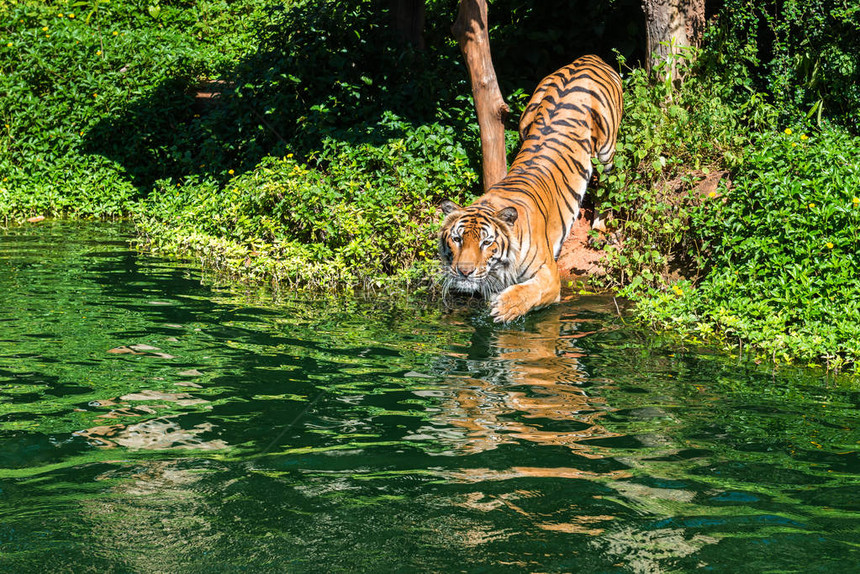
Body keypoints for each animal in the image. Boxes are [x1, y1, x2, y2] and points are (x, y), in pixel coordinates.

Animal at [440, 54, 620, 324]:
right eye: (457, 239)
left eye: (486, 242)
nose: (464, 272)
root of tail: (589, 57)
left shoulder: (550, 275)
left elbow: (533, 291)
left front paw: (507, 306)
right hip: (526, 119)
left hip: (606, 148)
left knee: (606, 185)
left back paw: (599, 227)